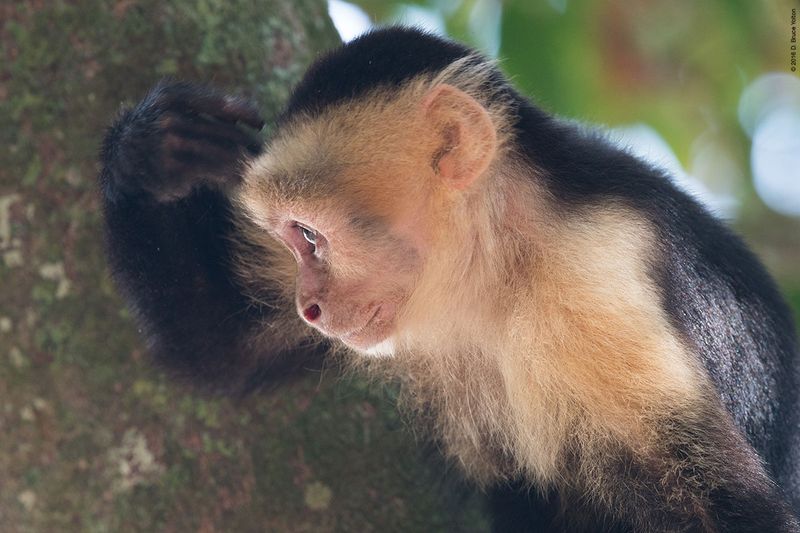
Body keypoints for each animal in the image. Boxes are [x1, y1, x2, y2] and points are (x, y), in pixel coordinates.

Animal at [101, 27, 800, 528]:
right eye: (292, 243)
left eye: (311, 236)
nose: (309, 309)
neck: (499, 266)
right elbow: (219, 344)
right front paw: (148, 150)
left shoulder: (595, 282)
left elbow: (722, 507)